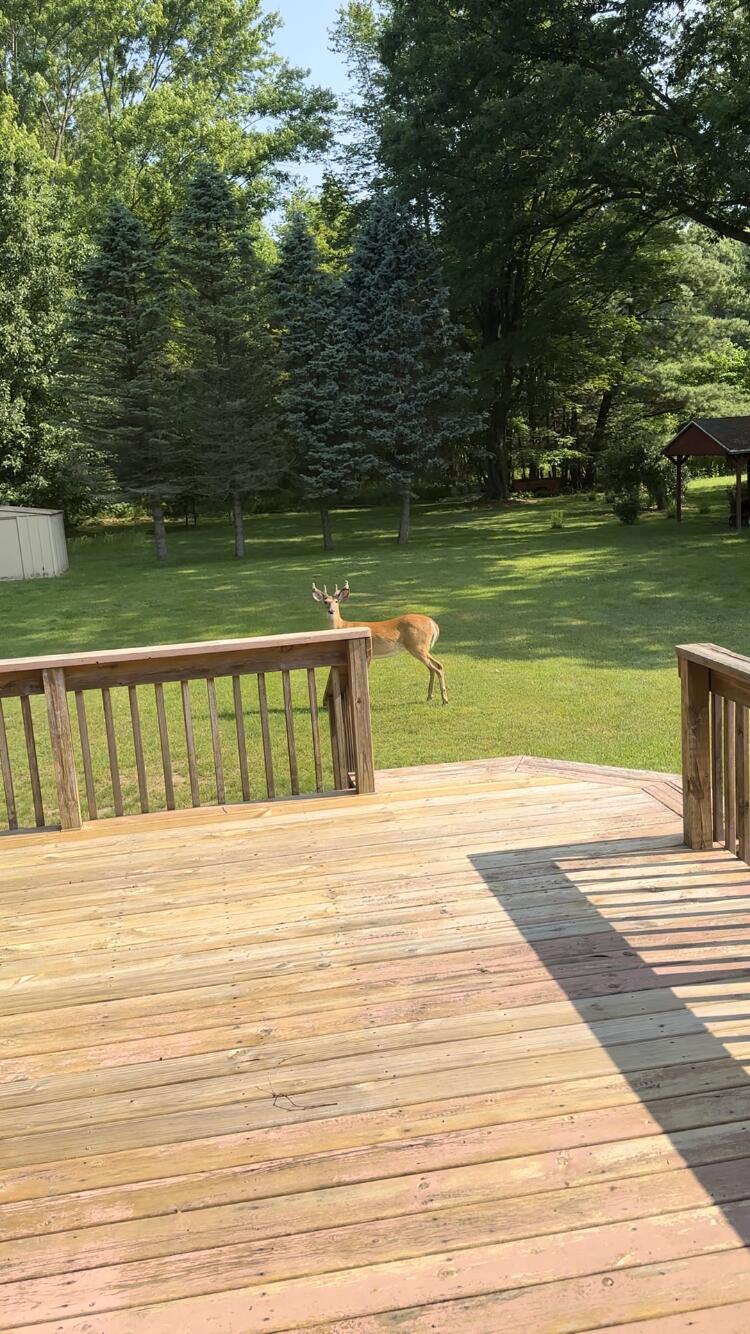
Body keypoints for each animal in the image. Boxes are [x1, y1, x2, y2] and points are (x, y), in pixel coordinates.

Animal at [312, 579, 448, 704]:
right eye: (325, 602)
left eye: (336, 601)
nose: (331, 611)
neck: (343, 626)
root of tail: (432, 623)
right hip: (421, 647)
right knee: (433, 667)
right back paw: (430, 696)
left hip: (418, 646)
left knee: (438, 666)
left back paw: (444, 699)